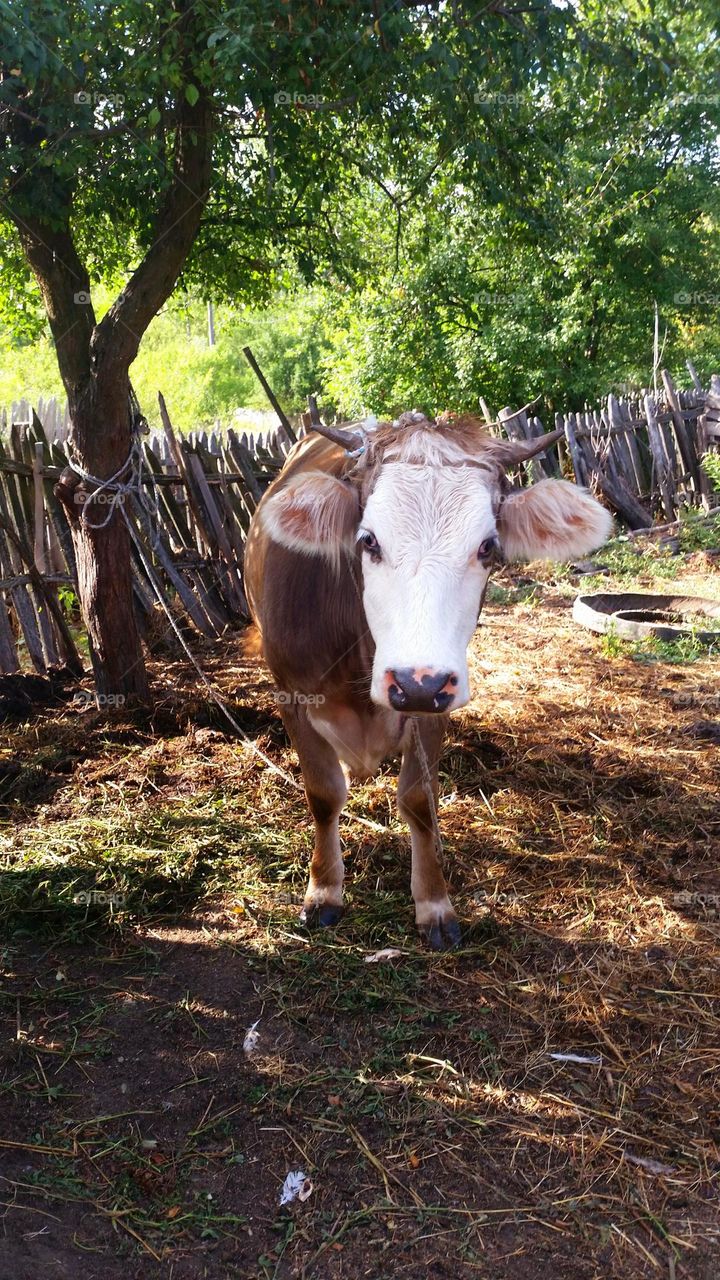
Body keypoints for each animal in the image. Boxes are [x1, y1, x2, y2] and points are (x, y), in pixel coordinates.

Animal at [244, 411, 612, 949]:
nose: (415, 683)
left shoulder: (436, 702)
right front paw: (325, 891)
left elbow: (420, 800)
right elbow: (324, 794)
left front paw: (434, 904)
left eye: (487, 546)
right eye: (368, 540)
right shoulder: (293, 696)